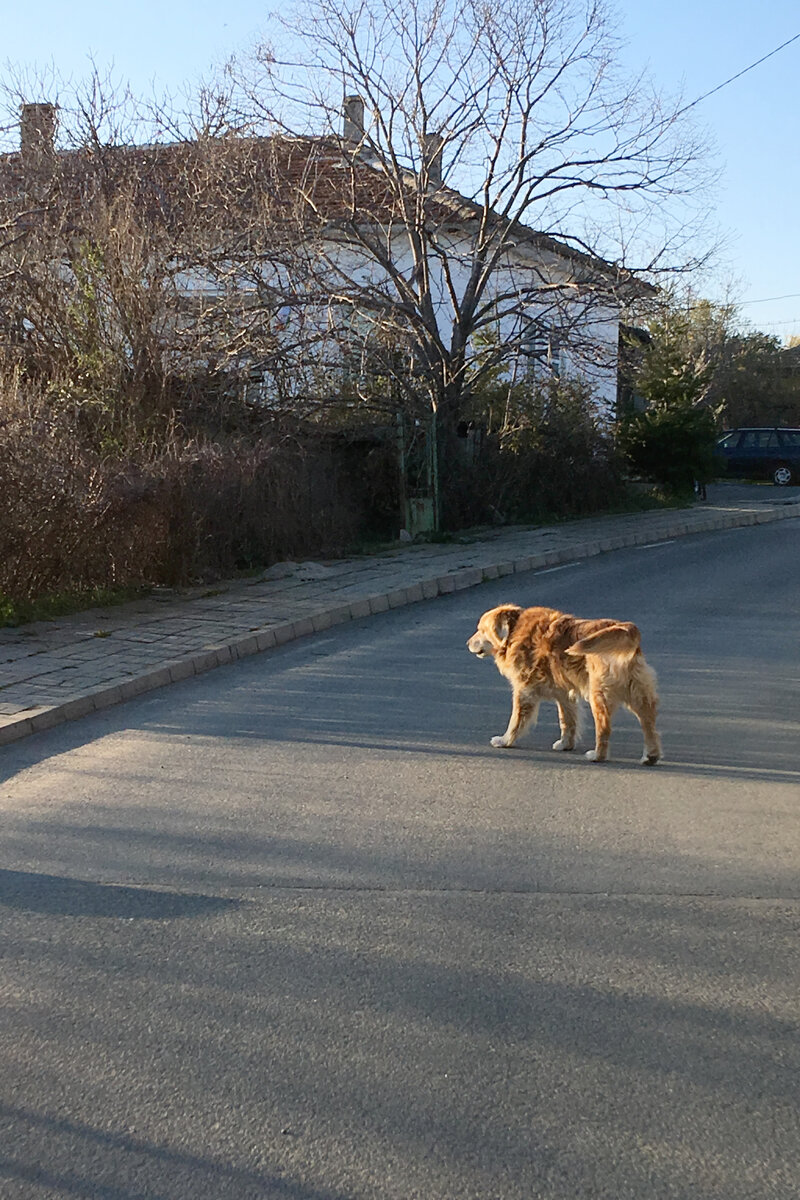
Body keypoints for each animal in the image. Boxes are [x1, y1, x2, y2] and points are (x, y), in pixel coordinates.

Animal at [465, 604, 662, 763]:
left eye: (481, 630)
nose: (467, 643)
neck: (514, 630)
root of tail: (625, 628)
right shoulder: (564, 694)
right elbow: (567, 721)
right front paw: (566, 743)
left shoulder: (524, 690)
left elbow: (516, 720)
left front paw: (505, 741)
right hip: (637, 693)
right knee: (649, 724)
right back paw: (650, 756)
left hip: (598, 695)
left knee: (604, 729)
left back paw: (598, 755)